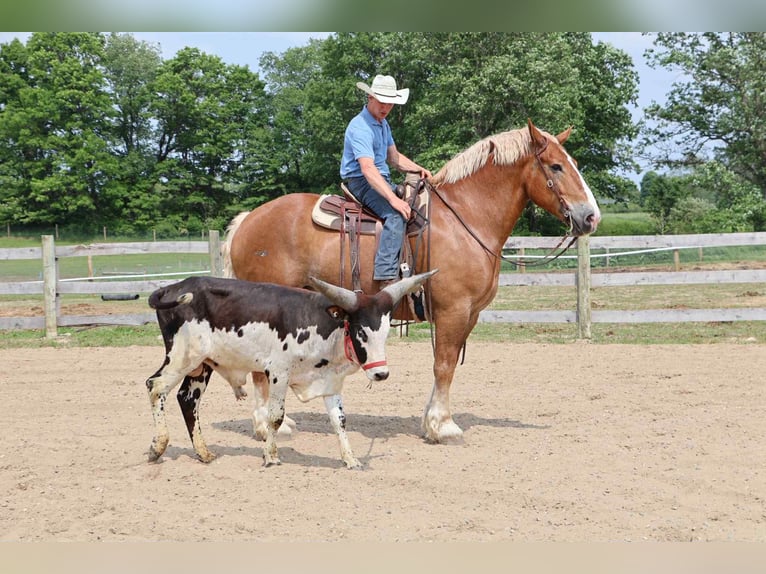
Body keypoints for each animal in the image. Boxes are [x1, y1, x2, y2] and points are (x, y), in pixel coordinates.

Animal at [222, 119, 601, 444]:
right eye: (556, 166)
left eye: (573, 162)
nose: (591, 217)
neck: (465, 219)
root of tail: (247, 220)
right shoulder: (453, 310)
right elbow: (444, 364)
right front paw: (443, 426)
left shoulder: (469, 314)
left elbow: (447, 364)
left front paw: (431, 421)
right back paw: (269, 425)